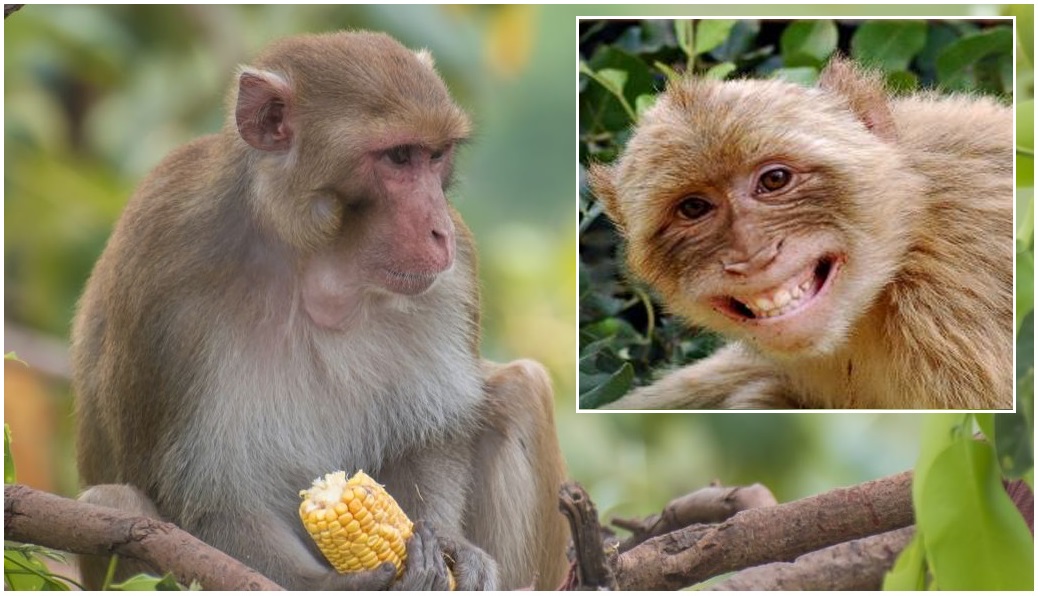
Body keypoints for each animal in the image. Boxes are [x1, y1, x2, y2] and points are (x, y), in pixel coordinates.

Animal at [71, 31, 569, 590]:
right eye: (400, 157)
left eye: (436, 155)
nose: (439, 230)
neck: (313, 260)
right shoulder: (160, 270)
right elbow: (211, 505)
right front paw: (353, 583)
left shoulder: (454, 277)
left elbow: (429, 439)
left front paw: (450, 544)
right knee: (114, 498)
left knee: (521, 386)